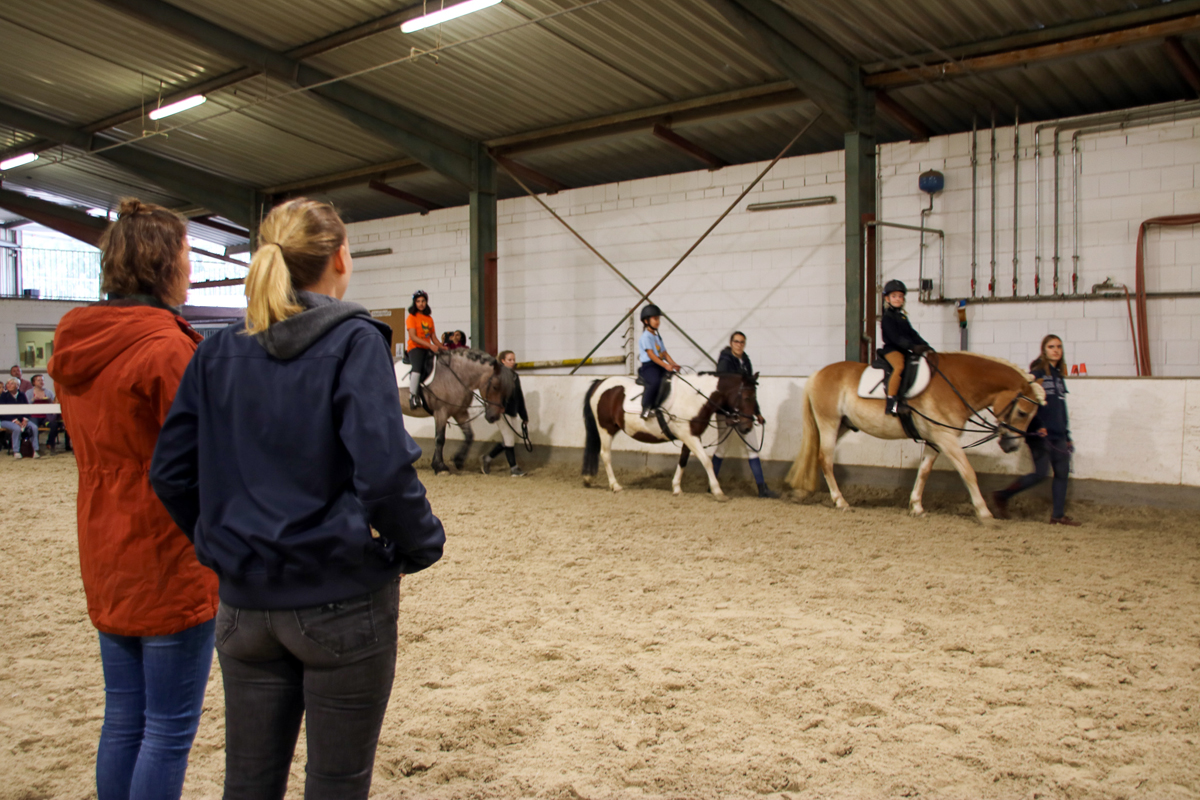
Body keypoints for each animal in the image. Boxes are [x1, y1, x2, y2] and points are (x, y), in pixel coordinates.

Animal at [580, 371, 758, 501]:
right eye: (747, 397)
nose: (748, 427)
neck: (694, 399)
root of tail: (601, 382)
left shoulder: (691, 436)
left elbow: (683, 461)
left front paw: (677, 488)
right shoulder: (690, 437)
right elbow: (707, 461)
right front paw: (718, 491)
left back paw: (588, 478)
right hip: (606, 428)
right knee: (606, 455)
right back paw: (615, 485)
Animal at [782, 352, 1046, 520]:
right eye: (1022, 412)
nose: (1012, 445)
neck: (957, 384)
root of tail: (818, 374)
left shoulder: (935, 440)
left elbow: (924, 471)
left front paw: (917, 506)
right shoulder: (946, 438)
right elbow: (968, 472)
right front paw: (984, 513)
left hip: (841, 425)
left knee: (814, 455)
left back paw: (801, 491)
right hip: (829, 422)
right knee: (825, 459)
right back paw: (841, 501)